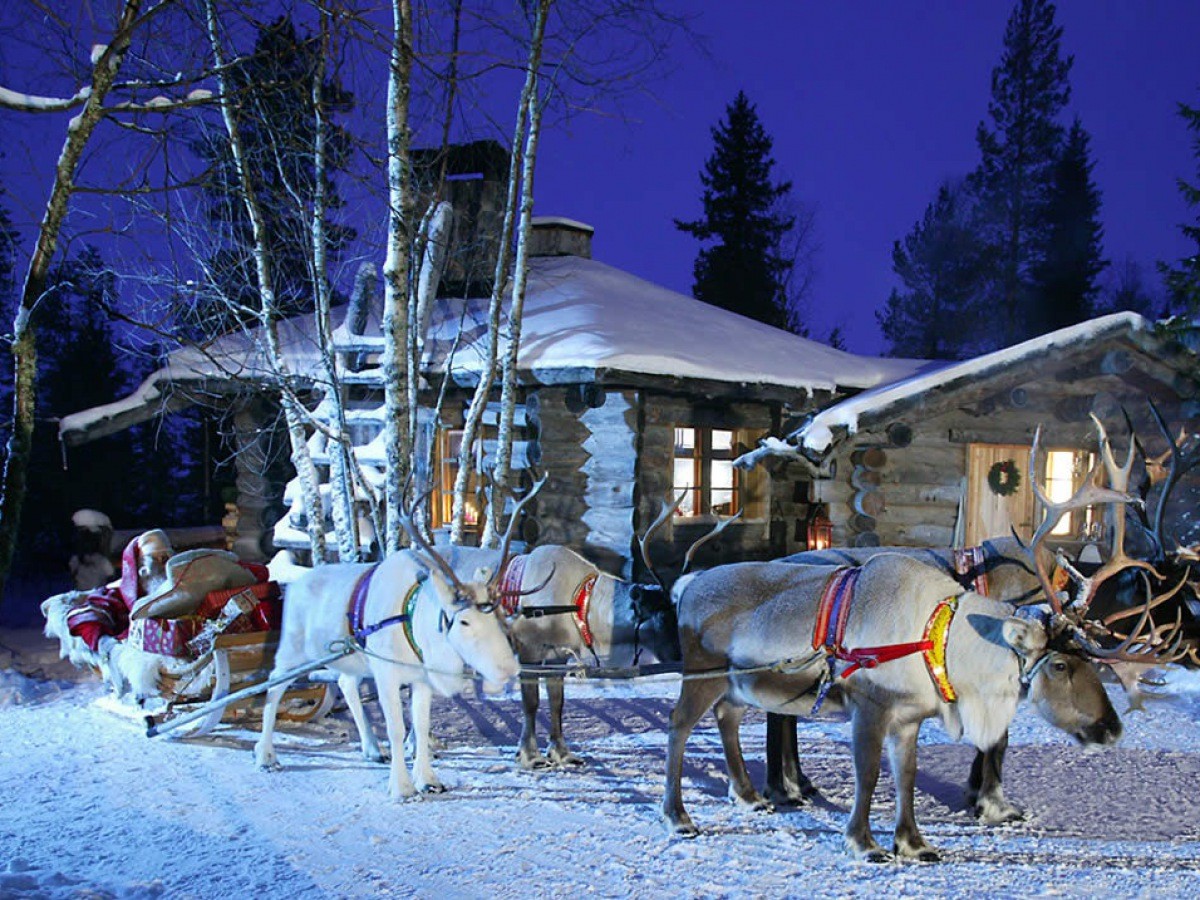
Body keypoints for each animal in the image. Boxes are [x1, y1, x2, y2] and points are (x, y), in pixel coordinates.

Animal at [254, 494, 520, 800]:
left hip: (352, 660)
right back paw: (266, 755)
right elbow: (396, 728)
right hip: (292, 651)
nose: (509, 669)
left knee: (345, 683)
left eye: (497, 614)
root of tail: (295, 585)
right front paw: (402, 786)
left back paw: (371, 748)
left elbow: (421, 726)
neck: (414, 621)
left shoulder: (421, 679)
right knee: (273, 686)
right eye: (464, 621)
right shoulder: (386, 675)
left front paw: (428, 780)